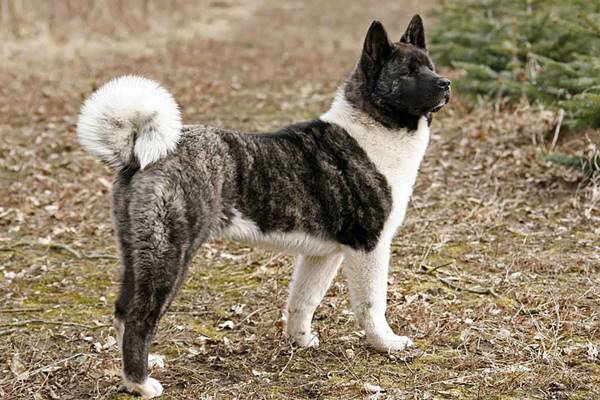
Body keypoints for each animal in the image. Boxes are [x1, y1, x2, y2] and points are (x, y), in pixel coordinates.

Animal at [76, 14, 450, 396]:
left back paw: (138, 372)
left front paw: (300, 341)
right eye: (407, 72)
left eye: (430, 66)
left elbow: (303, 301)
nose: (446, 83)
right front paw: (386, 343)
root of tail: (138, 153)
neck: (372, 126)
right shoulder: (369, 247)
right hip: (169, 256)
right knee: (140, 317)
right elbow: (372, 304)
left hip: (137, 255)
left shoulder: (322, 256)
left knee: (123, 311)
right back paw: (141, 384)